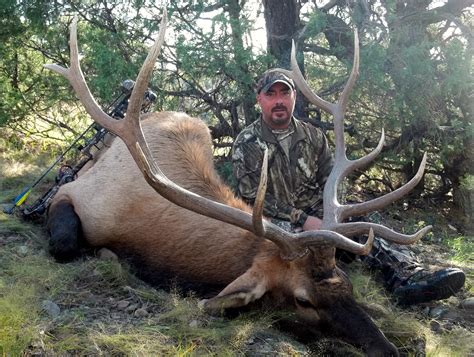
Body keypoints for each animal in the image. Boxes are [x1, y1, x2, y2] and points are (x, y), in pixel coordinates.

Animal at [45, 12, 430, 354]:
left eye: (348, 286)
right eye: (303, 301)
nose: (388, 351)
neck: (141, 226)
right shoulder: (71, 194)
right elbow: (66, 242)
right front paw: (109, 255)